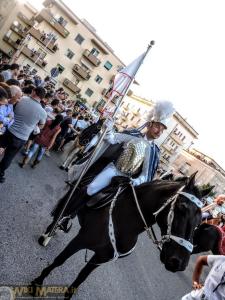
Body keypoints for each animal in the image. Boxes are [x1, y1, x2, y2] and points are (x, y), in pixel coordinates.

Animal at [31, 172, 213, 298]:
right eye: (182, 208)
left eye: (200, 221)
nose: (179, 262)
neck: (125, 222)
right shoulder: (79, 241)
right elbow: (59, 261)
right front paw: (37, 283)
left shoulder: (101, 257)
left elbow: (79, 280)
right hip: (72, 198)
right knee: (61, 213)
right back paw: (47, 234)